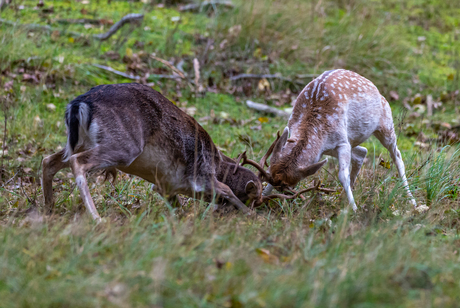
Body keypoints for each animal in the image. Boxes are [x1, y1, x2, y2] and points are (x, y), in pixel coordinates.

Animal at [40, 83, 306, 220]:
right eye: (254, 198)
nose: (258, 206)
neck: (218, 165)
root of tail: (79, 104)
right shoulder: (201, 176)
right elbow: (227, 190)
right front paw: (252, 217)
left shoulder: (166, 186)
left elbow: (178, 207)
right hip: (124, 146)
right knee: (77, 162)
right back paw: (96, 218)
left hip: (80, 142)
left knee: (48, 160)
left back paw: (49, 209)